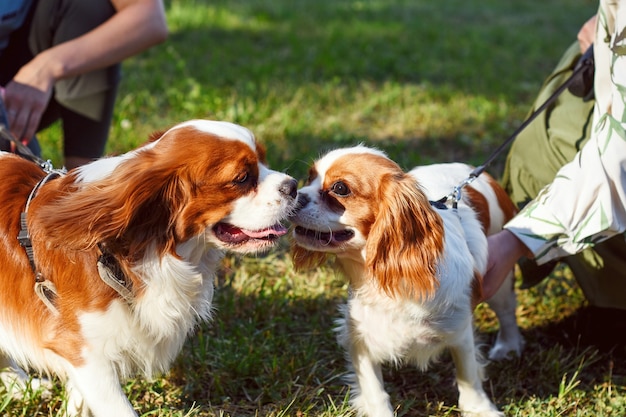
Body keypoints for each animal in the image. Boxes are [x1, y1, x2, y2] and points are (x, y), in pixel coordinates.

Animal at [292, 146, 520, 416]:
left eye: (340, 188)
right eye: (309, 177)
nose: (294, 193)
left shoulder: (460, 329)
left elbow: (468, 376)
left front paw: (480, 409)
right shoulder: (360, 335)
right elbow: (374, 390)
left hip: (501, 278)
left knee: (506, 313)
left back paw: (508, 346)